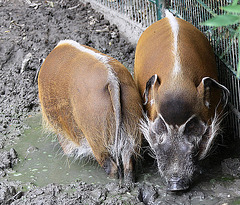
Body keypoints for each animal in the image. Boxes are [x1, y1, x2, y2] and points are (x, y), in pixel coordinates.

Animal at [38, 40, 142, 183]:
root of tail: (112, 79)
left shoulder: (59, 126)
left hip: (95, 136)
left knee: (111, 166)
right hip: (132, 124)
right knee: (129, 163)